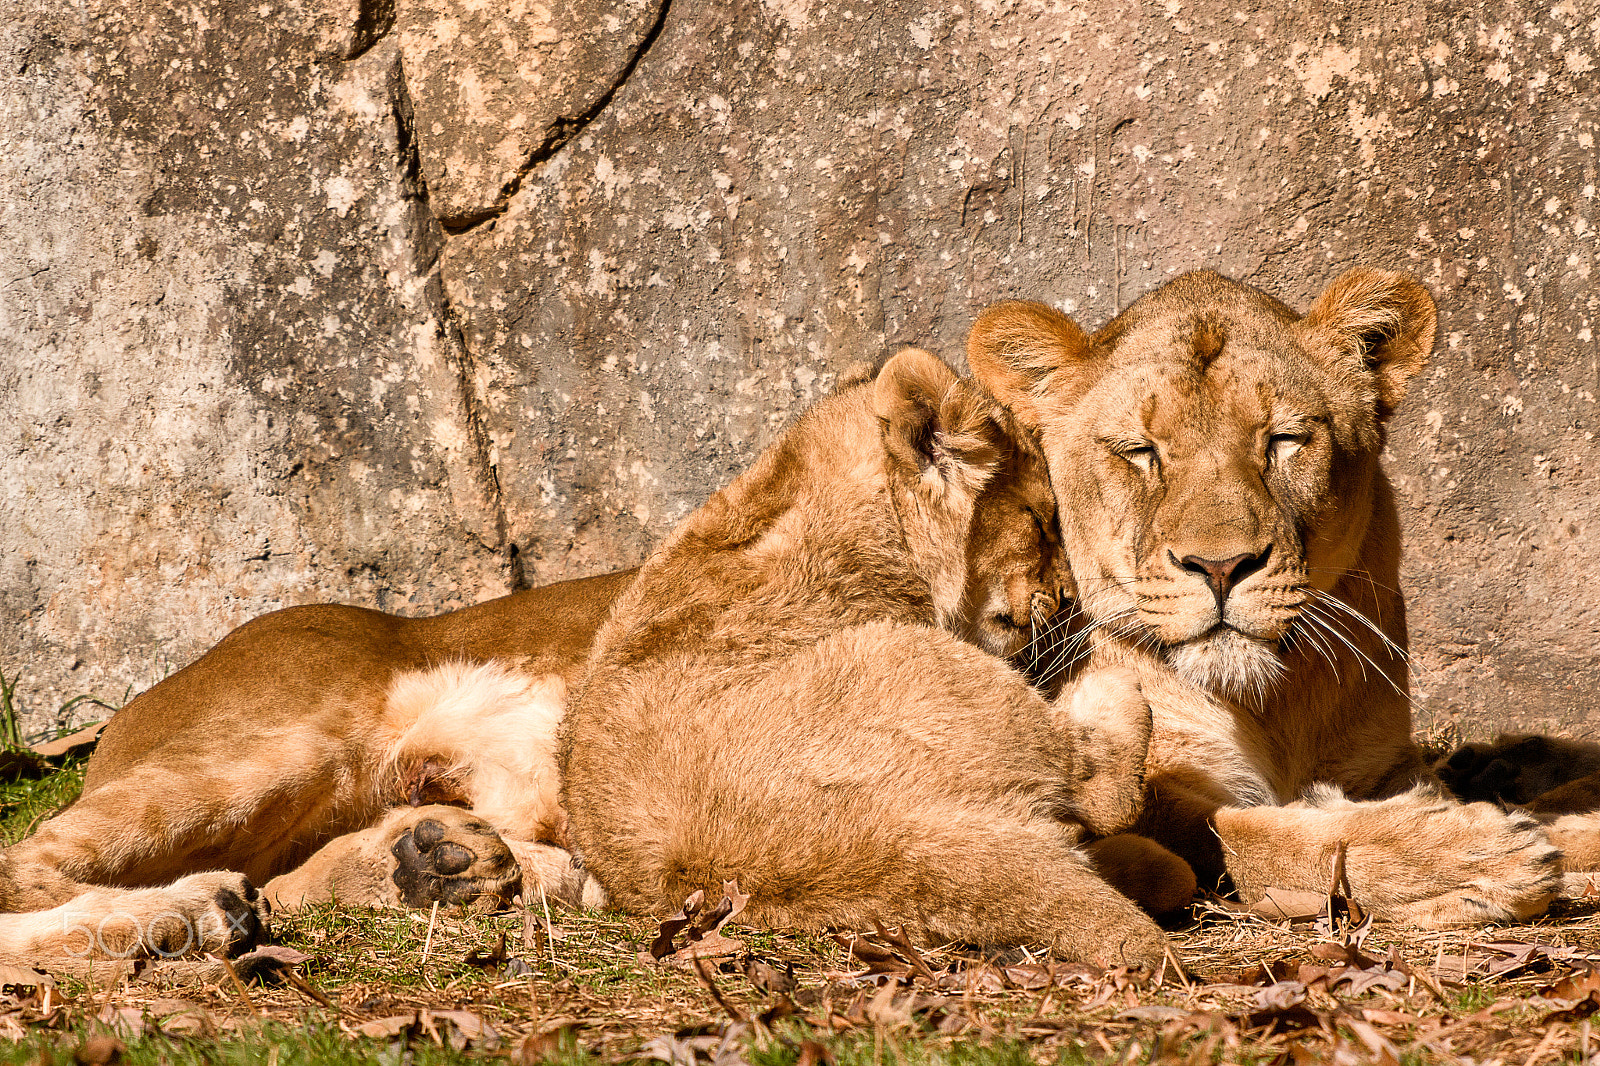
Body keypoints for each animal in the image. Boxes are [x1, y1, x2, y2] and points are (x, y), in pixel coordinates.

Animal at [964, 266, 1562, 926]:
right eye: (1140, 451)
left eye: (1283, 440)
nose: (1221, 567)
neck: (1272, 709)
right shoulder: (1143, 771)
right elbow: (1249, 837)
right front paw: (1475, 856)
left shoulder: (1383, 761)